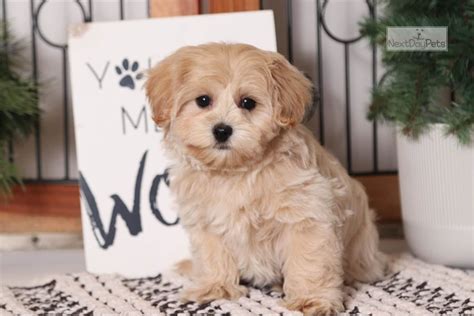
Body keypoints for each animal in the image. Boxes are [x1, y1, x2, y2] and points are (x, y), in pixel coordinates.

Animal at [146, 43, 386, 314]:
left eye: (248, 102)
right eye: (203, 100)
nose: (222, 130)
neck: (234, 172)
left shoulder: (308, 216)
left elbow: (309, 260)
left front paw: (311, 300)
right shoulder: (205, 220)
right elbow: (212, 254)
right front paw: (215, 288)